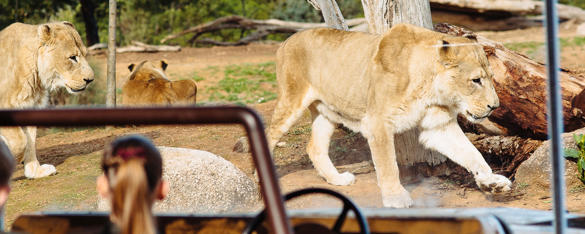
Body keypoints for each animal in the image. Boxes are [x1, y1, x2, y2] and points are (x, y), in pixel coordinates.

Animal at [0, 22, 94, 178]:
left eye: (85, 55)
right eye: (72, 57)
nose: (90, 80)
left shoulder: (30, 106)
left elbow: (30, 141)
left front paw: (34, 172)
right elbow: (20, 141)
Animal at [268, 22, 512, 207]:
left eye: (492, 78)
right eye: (476, 80)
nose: (495, 106)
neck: (429, 87)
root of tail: (286, 41)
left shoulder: (438, 127)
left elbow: (472, 154)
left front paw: (492, 182)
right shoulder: (377, 123)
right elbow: (388, 165)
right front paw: (396, 197)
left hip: (327, 110)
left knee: (314, 146)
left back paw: (337, 179)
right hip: (291, 100)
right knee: (270, 134)